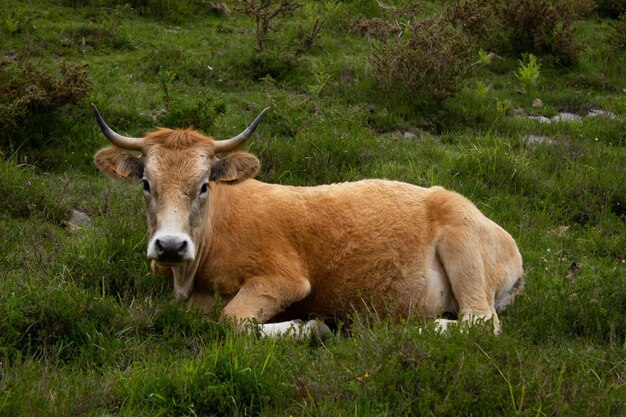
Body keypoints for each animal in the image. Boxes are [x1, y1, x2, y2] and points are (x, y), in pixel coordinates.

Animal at [91, 105, 520, 338]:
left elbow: (232, 321)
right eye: (146, 183)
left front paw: (310, 328)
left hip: (463, 248)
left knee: (481, 321)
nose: (170, 245)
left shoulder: (284, 280)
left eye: (203, 186)